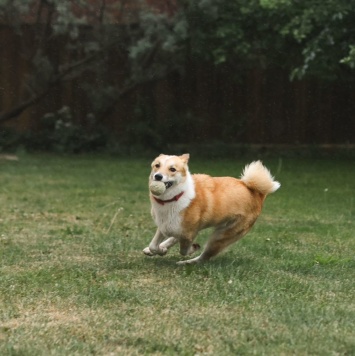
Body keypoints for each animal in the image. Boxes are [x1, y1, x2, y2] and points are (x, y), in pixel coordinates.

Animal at [143, 153, 280, 264]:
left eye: (172, 169)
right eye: (157, 165)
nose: (158, 176)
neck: (176, 196)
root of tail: (258, 193)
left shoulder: (188, 233)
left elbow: (184, 250)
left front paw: (191, 248)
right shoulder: (165, 225)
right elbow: (153, 245)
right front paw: (160, 249)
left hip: (221, 237)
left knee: (204, 257)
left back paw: (187, 262)